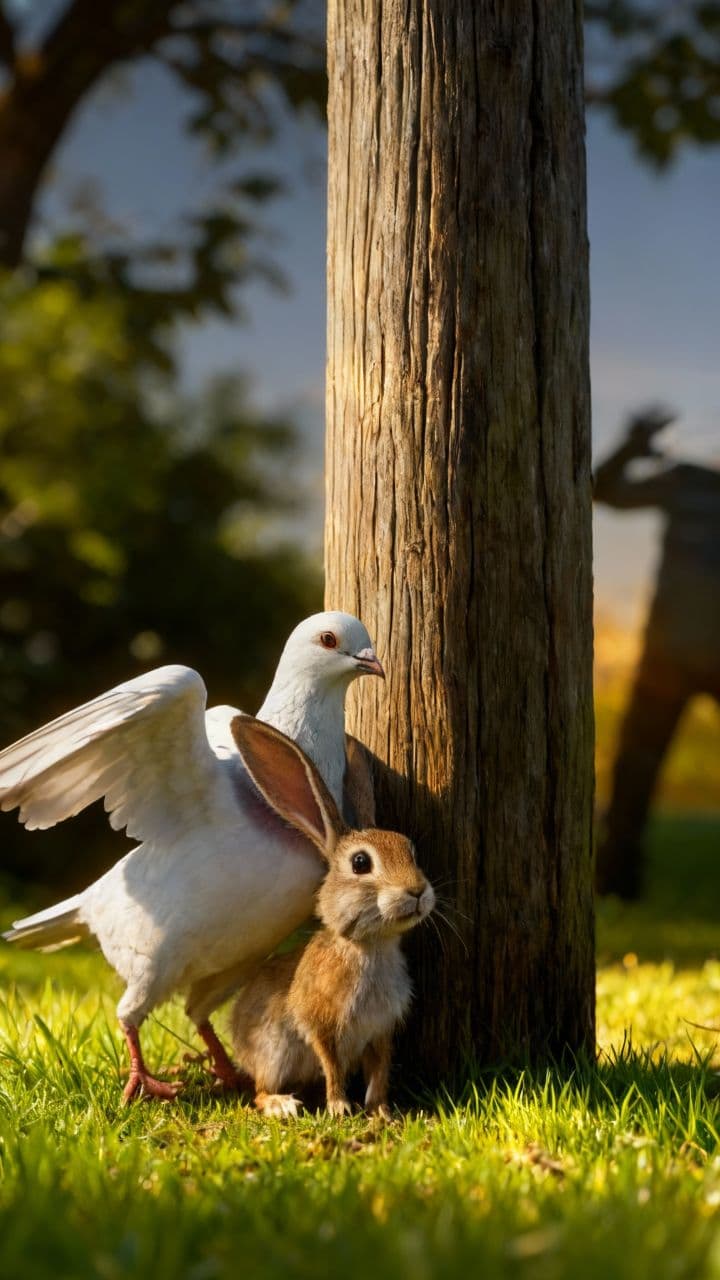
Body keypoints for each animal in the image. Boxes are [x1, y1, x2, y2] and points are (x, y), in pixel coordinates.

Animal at [228, 716, 435, 1119]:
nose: (417, 891)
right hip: (273, 1052)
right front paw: (340, 1107)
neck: (367, 947)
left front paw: (382, 1111)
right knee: (259, 1090)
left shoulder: (381, 1029)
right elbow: (332, 1064)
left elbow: (380, 1069)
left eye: (412, 852)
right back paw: (281, 1105)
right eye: (361, 863)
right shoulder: (320, 1022)